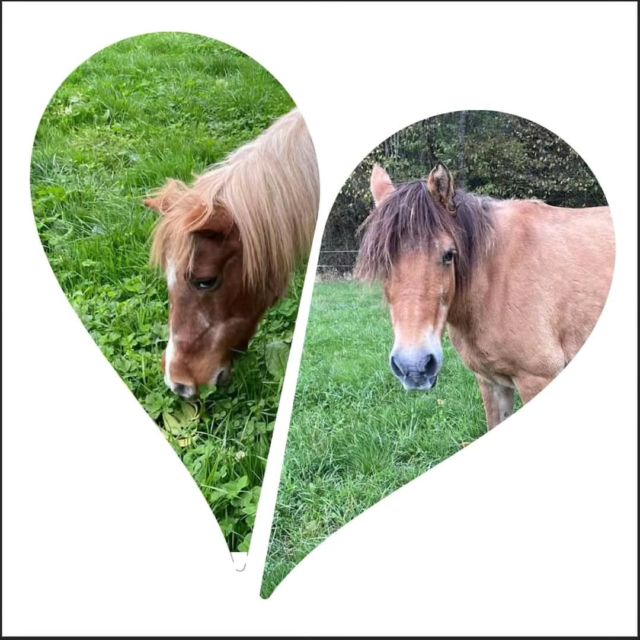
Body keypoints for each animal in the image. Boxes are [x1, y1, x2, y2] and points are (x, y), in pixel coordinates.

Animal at [355, 162, 614, 429]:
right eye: (383, 262)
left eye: (449, 255)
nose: (414, 367)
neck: (494, 281)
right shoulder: (491, 381)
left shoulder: (536, 378)